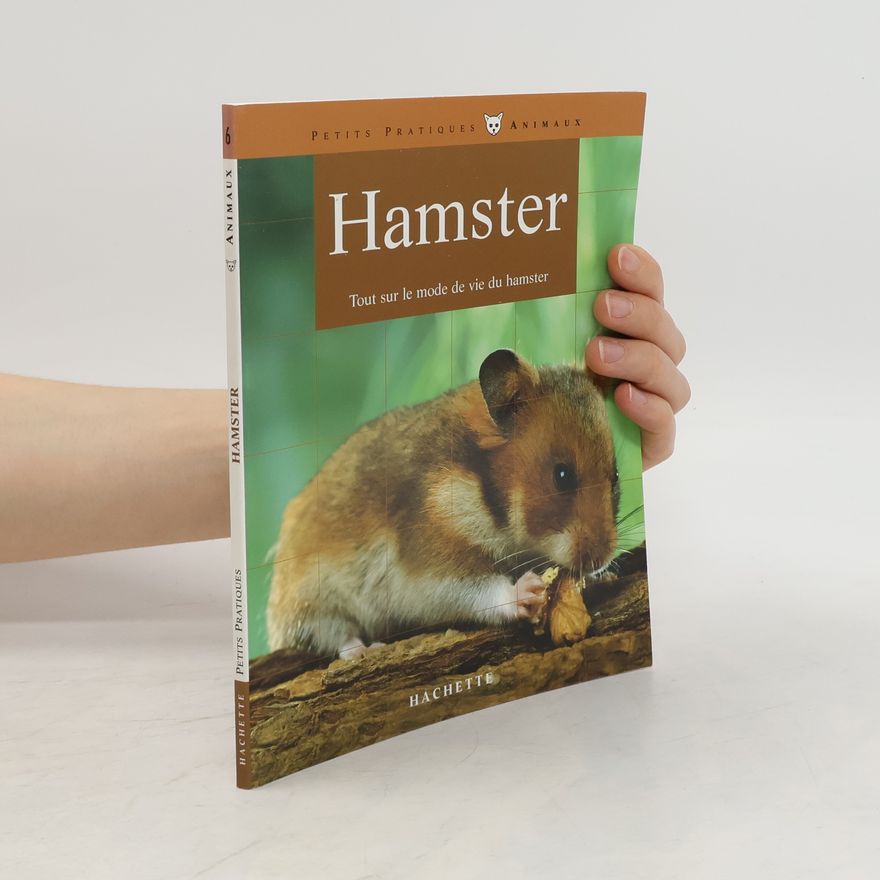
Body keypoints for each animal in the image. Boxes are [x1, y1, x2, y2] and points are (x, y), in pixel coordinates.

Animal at [266, 348, 621, 660]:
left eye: (616, 475)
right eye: (562, 476)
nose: (599, 561)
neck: (487, 492)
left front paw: (602, 578)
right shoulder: (428, 564)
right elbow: (473, 588)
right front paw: (528, 590)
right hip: (311, 600)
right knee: (333, 637)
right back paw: (364, 649)